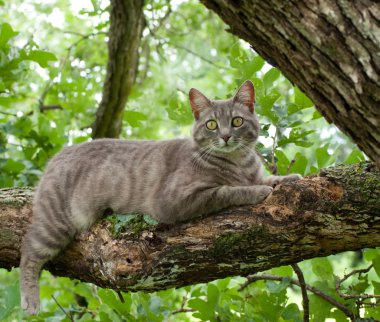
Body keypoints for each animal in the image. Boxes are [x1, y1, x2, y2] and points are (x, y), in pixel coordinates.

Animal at [20, 80, 300, 314]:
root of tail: (56, 157)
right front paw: (256, 191)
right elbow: (226, 190)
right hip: (56, 223)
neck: (239, 162)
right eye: (211, 124)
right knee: (29, 251)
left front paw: (288, 178)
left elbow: (266, 179)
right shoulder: (173, 200)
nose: (225, 136)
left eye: (237, 121)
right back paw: (30, 301)